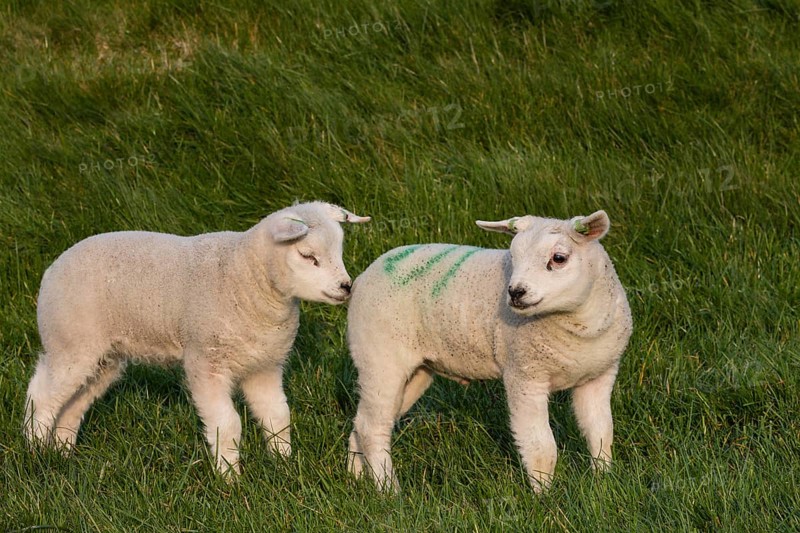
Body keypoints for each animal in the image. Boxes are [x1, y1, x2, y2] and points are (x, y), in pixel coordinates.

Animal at [24, 201, 370, 475]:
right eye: (307, 256)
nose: (346, 287)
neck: (246, 277)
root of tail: (53, 268)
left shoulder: (263, 365)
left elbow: (277, 416)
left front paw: (284, 463)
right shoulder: (206, 362)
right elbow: (227, 424)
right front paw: (229, 477)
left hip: (103, 357)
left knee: (72, 404)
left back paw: (62, 453)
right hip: (70, 341)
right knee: (42, 394)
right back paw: (36, 450)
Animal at [346, 210, 632, 493]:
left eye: (558, 258)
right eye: (513, 256)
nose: (516, 292)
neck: (582, 326)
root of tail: (361, 278)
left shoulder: (599, 376)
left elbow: (601, 431)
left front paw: (604, 480)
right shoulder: (524, 376)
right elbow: (541, 447)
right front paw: (544, 496)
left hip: (415, 371)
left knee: (363, 422)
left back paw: (356, 476)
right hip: (379, 357)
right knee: (372, 428)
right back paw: (389, 490)